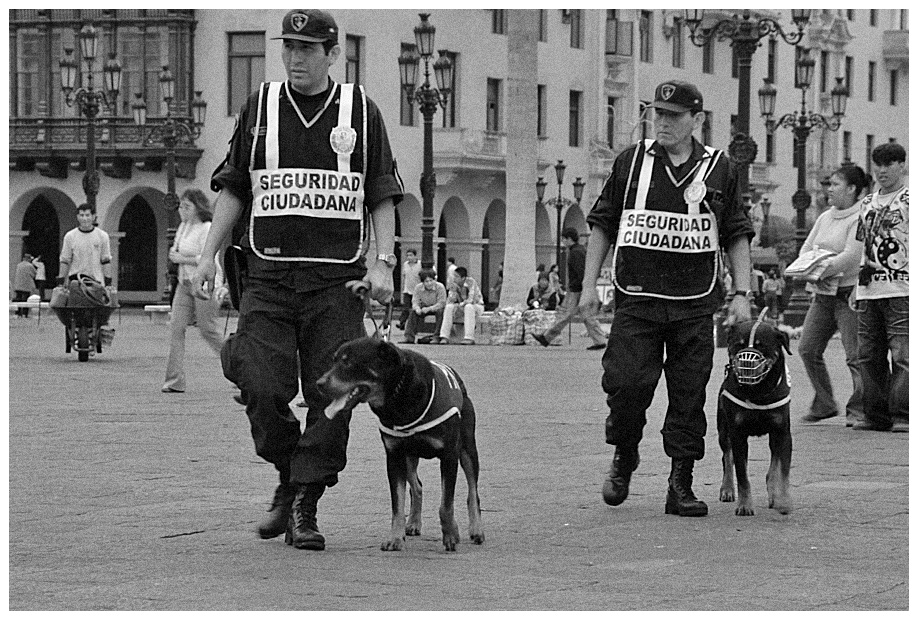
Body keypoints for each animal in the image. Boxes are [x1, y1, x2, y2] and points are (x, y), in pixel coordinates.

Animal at [318, 336, 486, 556]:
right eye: (334, 360)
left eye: (347, 362)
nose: (319, 383)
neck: (398, 396)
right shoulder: (394, 455)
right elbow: (397, 504)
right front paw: (395, 539)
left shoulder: (449, 455)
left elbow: (446, 504)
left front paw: (450, 536)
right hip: (409, 457)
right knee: (417, 486)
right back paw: (414, 523)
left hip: (467, 448)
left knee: (472, 491)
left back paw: (476, 530)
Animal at [720, 312, 792, 516]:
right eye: (739, 344)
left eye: (762, 346)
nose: (746, 360)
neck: (758, 391)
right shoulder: (737, 433)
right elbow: (742, 474)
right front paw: (745, 505)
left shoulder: (782, 431)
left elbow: (782, 470)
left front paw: (783, 500)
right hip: (723, 429)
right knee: (727, 457)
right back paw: (727, 489)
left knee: (773, 464)